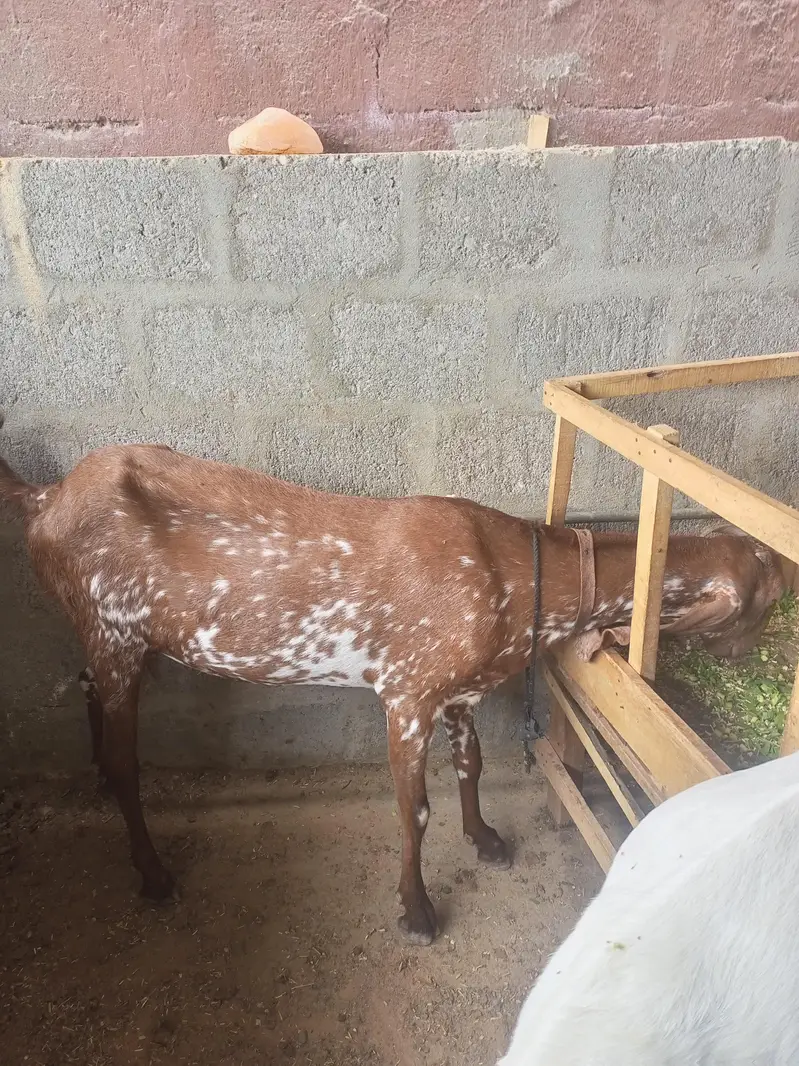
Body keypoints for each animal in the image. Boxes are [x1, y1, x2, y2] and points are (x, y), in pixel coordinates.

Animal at [0, 444, 784, 944]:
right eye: (769, 596)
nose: (748, 658)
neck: (517, 578)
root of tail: (44, 498)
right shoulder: (407, 692)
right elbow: (415, 810)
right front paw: (417, 912)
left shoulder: (462, 691)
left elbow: (470, 766)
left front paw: (487, 839)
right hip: (112, 627)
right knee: (127, 759)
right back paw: (154, 872)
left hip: (107, 641)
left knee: (90, 699)